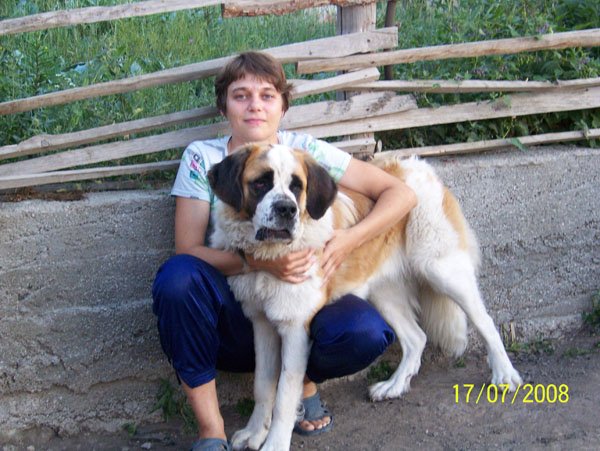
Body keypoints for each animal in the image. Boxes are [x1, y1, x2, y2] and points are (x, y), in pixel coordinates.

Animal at [207, 143, 522, 451]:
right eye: (261, 182)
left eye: (297, 186)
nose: (287, 209)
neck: (270, 256)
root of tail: (417, 166)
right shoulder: (261, 324)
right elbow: (262, 384)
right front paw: (254, 433)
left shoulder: (295, 328)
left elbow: (285, 393)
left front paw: (273, 444)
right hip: (385, 293)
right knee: (416, 338)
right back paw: (394, 386)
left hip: (441, 269)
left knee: (485, 321)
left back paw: (504, 374)